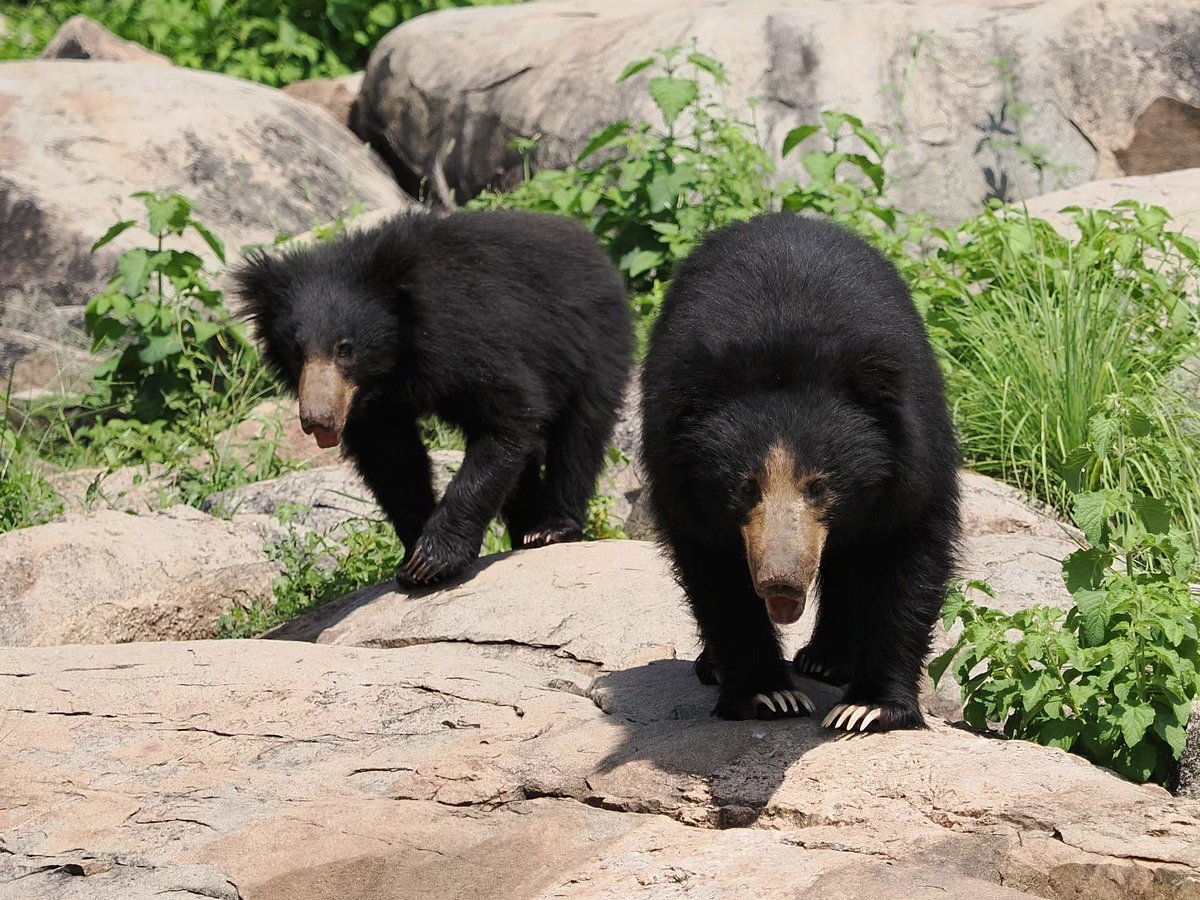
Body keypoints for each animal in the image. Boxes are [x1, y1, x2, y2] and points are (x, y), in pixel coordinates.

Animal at [235, 210, 634, 587]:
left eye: (345, 349)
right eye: (296, 351)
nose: (319, 420)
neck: (394, 360)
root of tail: (594, 247)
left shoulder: (464, 338)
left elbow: (508, 416)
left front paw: (432, 560)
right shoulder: (376, 406)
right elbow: (393, 460)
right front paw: (412, 552)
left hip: (593, 342)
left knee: (581, 434)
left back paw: (551, 528)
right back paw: (525, 530)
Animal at [640, 213, 960, 731]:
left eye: (819, 487)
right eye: (745, 489)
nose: (781, 582)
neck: (783, 349)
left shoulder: (914, 456)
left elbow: (907, 555)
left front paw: (867, 708)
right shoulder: (677, 473)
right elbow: (716, 573)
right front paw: (769, 695)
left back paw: (826, 661)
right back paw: (715, 666)